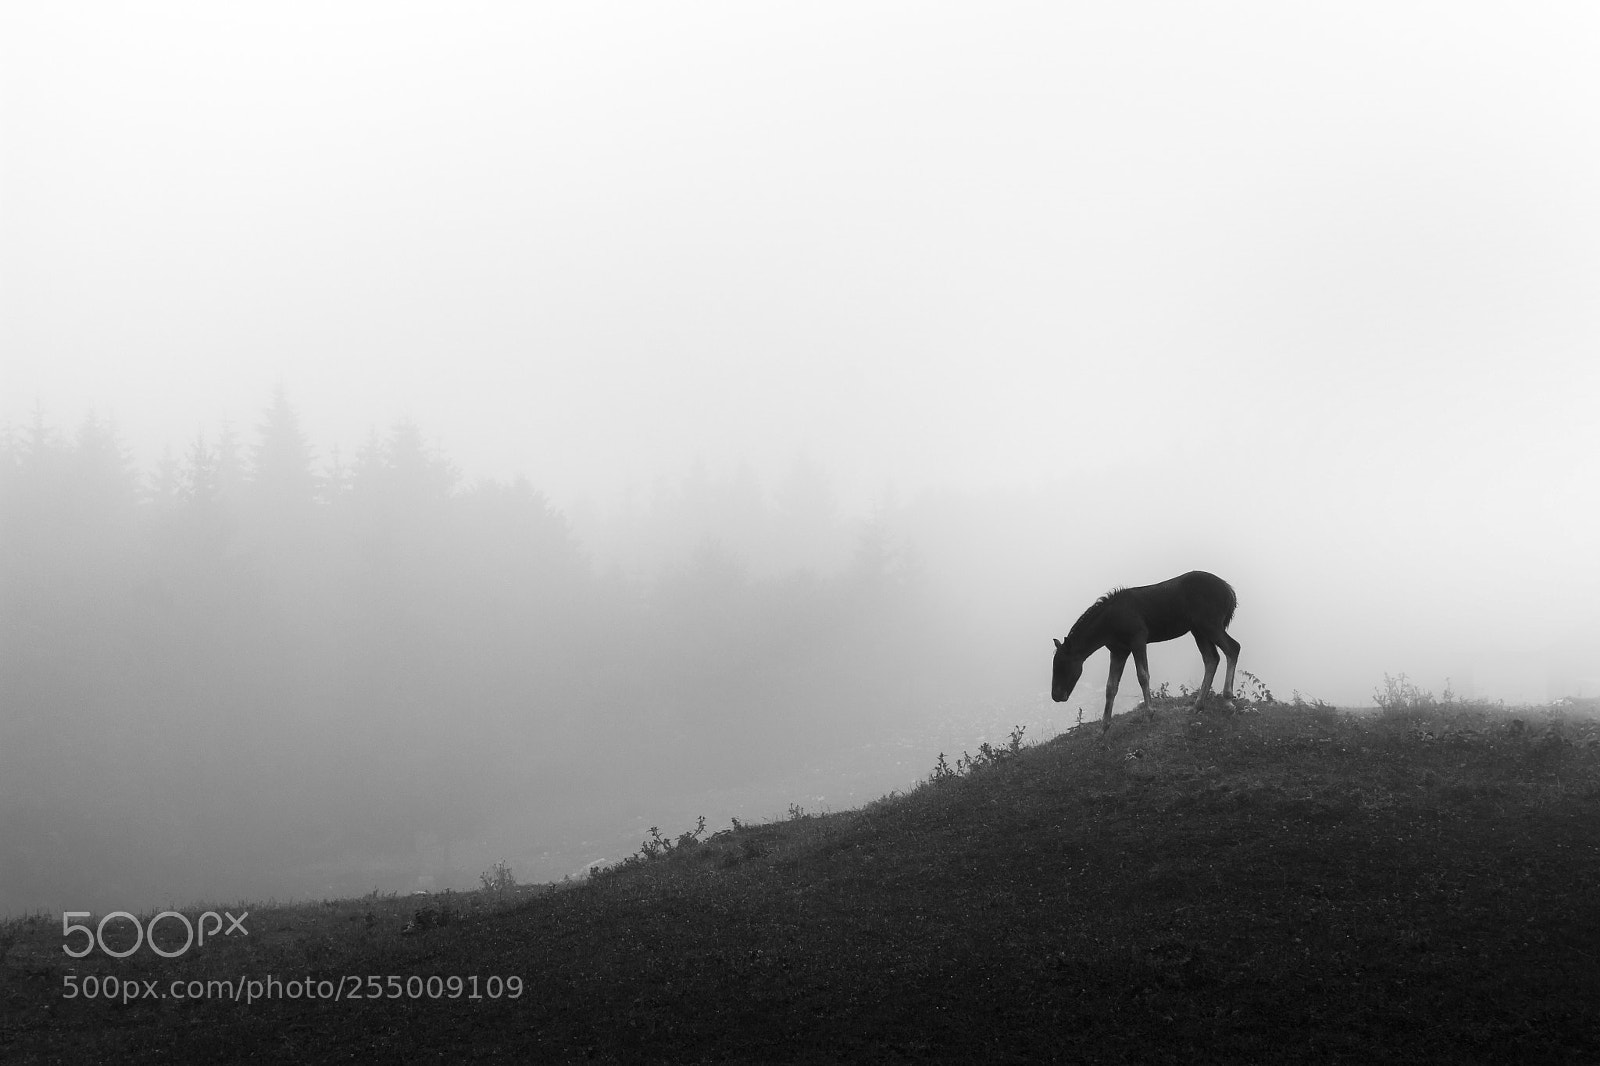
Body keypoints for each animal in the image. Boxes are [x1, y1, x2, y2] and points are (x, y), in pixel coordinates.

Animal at [1051, 571, 1240, 733]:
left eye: (1063, 665)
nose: (1056, 695)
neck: (1110, 623)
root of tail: (1229, 591)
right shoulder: (1119, 651)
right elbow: (1111, 686)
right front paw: (1104, 726)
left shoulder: (1138, 640)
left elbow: (1142, 676)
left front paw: (1149, 714)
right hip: (1198, 630)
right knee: (1211, 659)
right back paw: (1197, 706)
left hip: (1210, 625)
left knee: (1233, 648)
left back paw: (1228, 701)